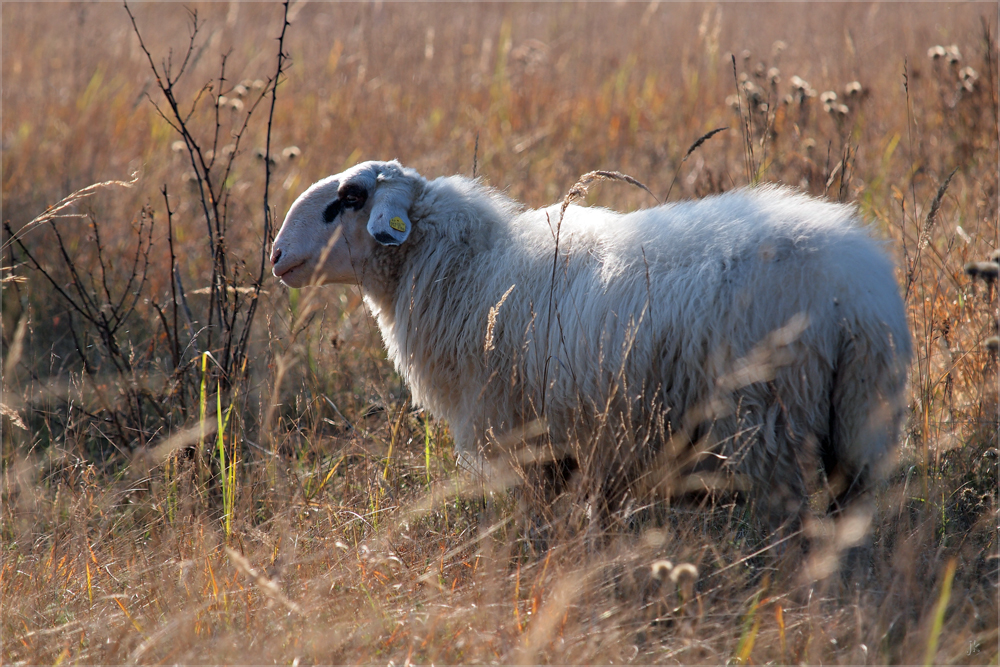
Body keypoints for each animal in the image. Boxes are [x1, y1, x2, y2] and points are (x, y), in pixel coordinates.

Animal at [272, 159, 916, 524]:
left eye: (350, 198)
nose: (276, 256)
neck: (470, 267)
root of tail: (856, 295)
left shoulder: (526, 435)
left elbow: (542, 520)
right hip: (859, 420)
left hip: (765, 420)